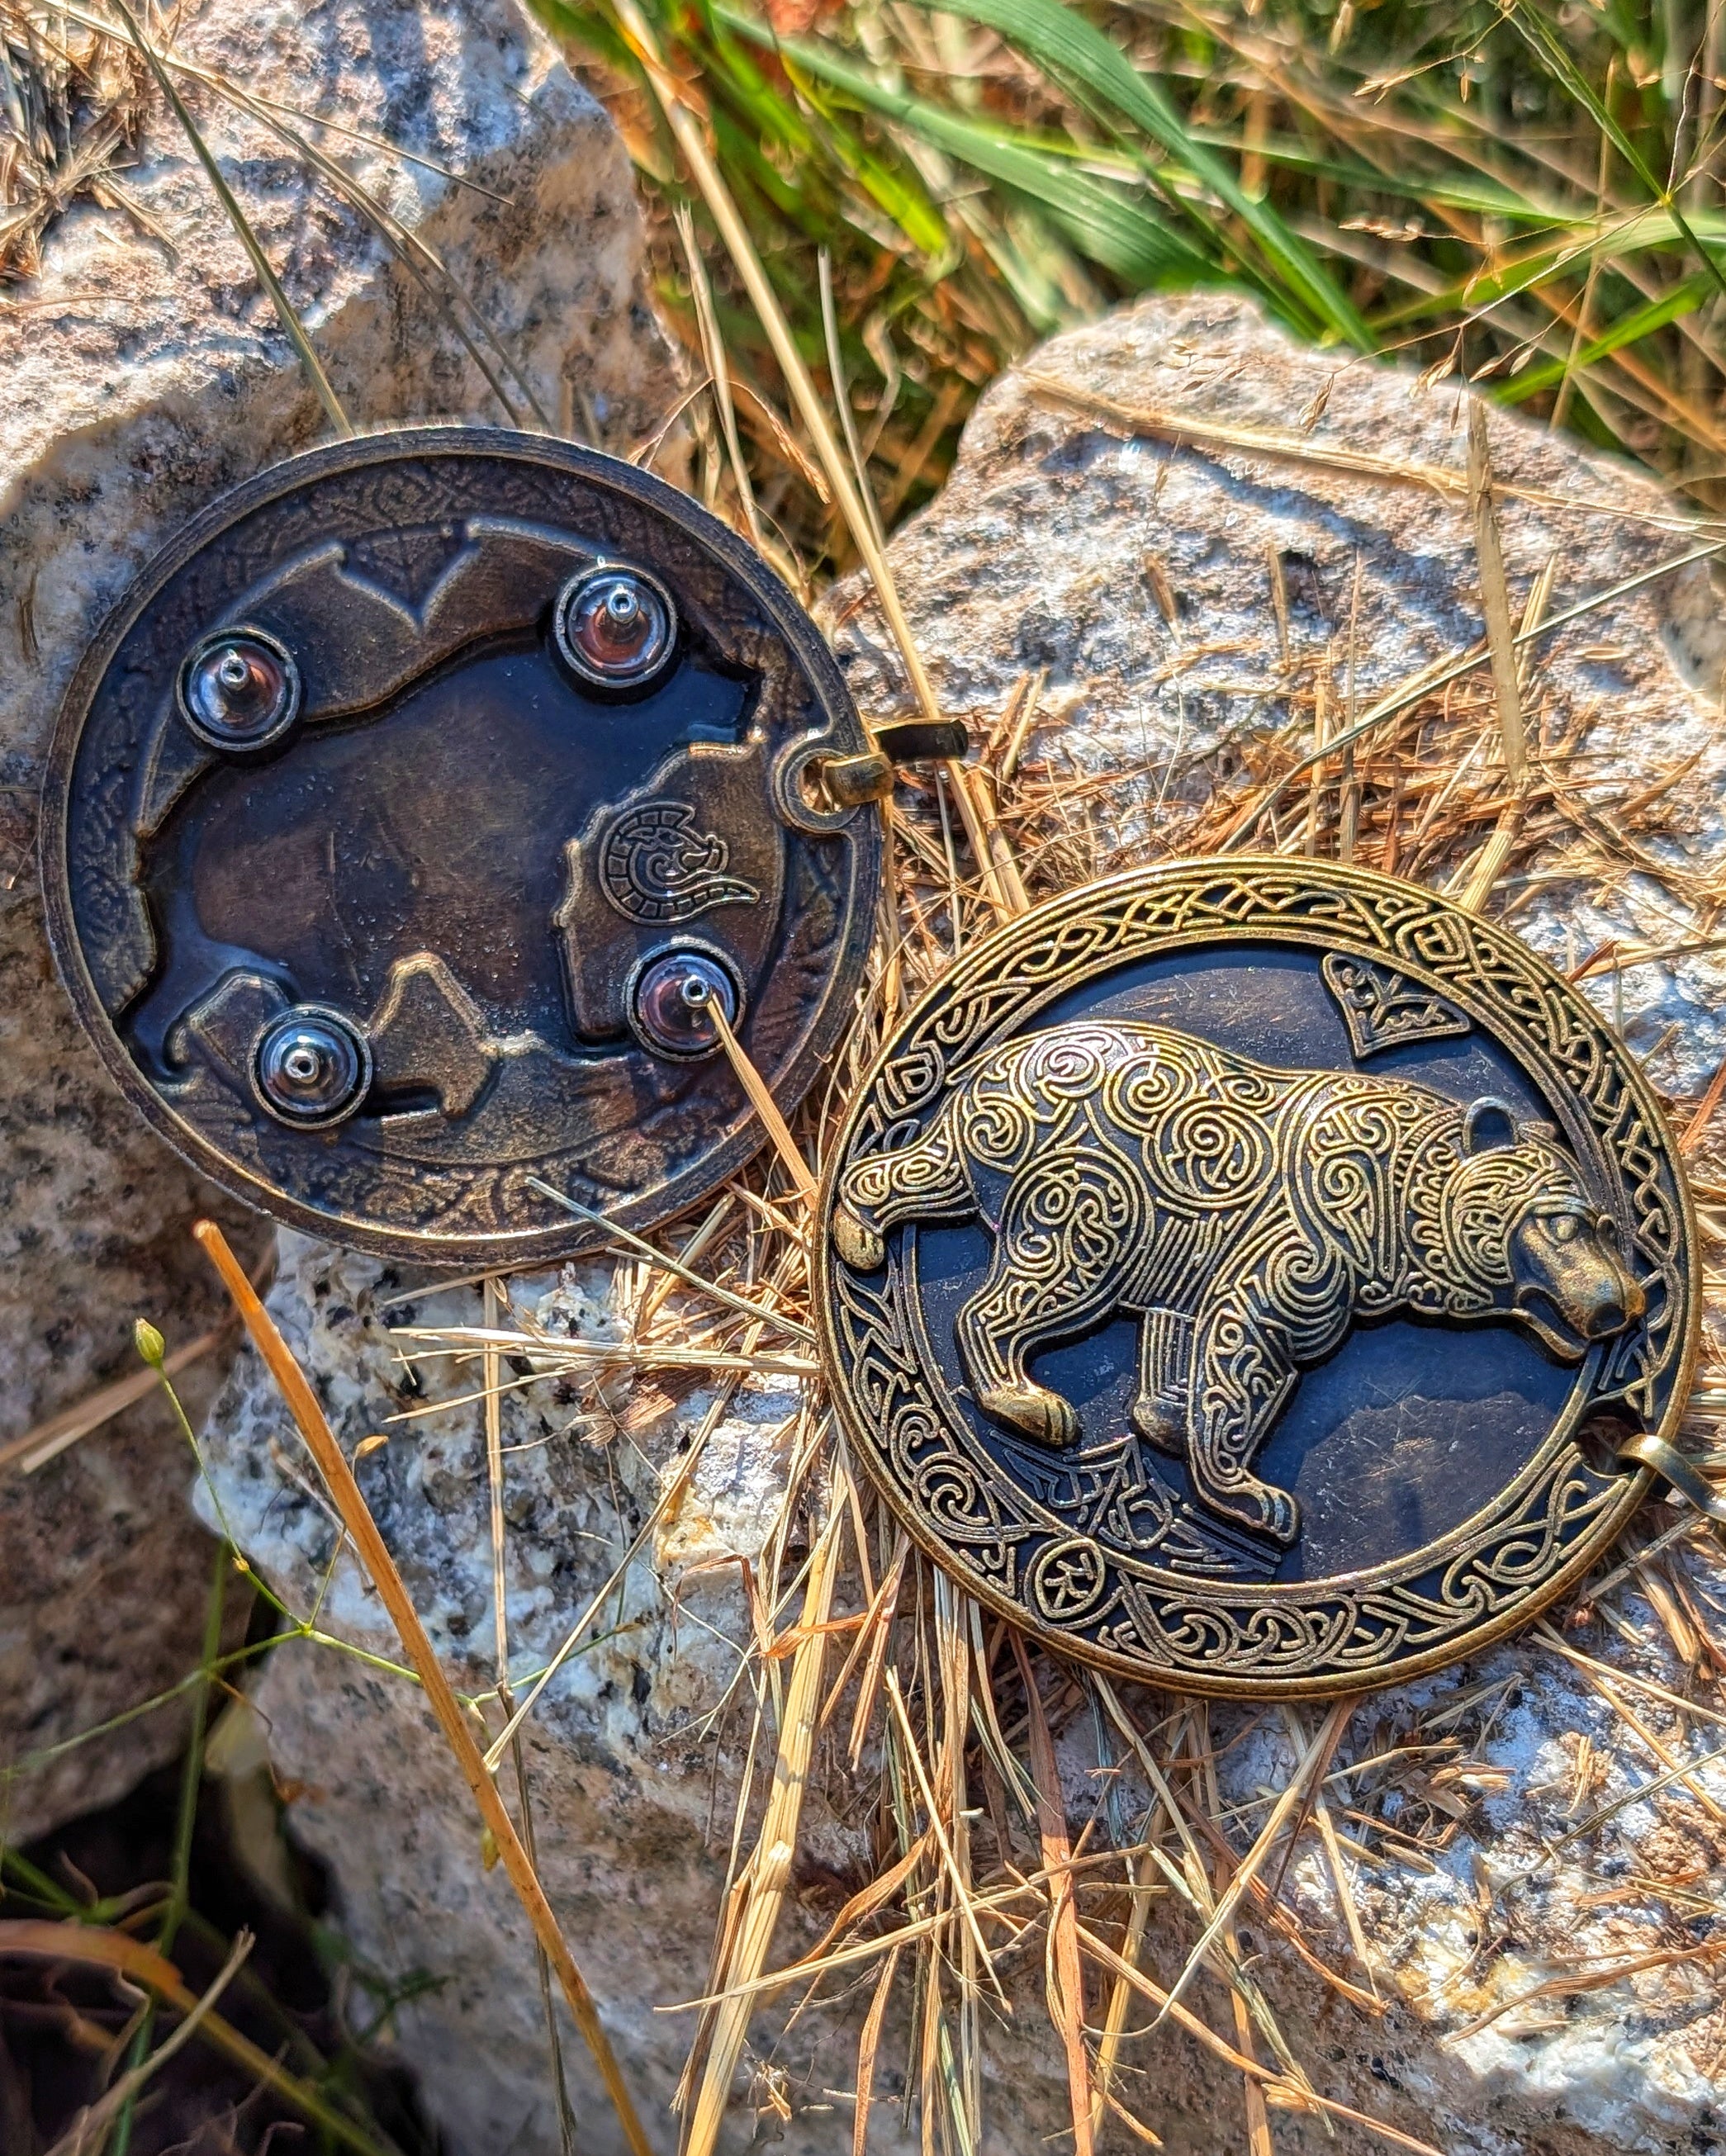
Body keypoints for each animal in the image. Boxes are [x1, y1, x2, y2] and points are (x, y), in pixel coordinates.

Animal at [832, 1020, 1644, 1546]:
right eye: (1559, 1223)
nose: (1617, 1306)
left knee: (922, 1175)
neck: (1388, 1201)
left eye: (1607, 1227)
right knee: (1019, 1288)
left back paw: (859, 1224)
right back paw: (1026, 1401)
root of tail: (994, 1068)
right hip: (1092, 1190)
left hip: (1000, 1155)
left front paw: (1164, 1418)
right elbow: (1249, 1351)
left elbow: (1182, 1341)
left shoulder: (1204, 1246)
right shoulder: (1303, 1248)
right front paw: (1250, 1493)